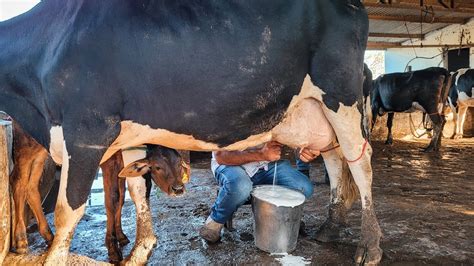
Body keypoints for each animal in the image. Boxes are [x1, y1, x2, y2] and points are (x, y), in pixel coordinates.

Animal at [0, 1, 384, 264]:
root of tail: (352, 6)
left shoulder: (86, 133)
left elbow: (69, 211)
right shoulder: (130, 135)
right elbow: (135, 189)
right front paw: (141, 248)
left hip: (341, 95)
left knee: (362, 167)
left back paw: (370, 245)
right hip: (316, 111)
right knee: (336, 161)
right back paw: (331, 226)